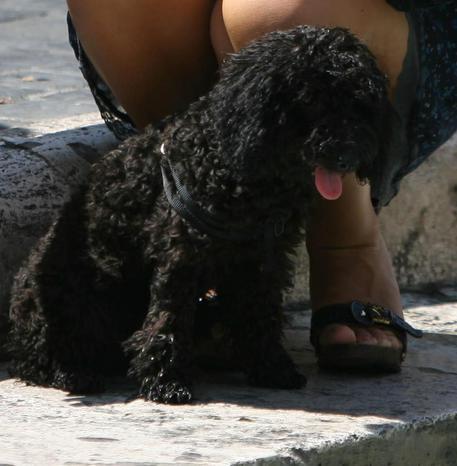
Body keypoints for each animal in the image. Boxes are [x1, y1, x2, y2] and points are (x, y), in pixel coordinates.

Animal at [6, 26, 392, 404]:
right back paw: (73, 373)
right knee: (39, 356)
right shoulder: (181, 255)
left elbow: (262, 312)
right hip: (61, 297)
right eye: (311, 99)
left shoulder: (265, 258)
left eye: (360, 102)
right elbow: (169, 319)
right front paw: (167, 382)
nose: (346, 154)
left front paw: (271, 367)